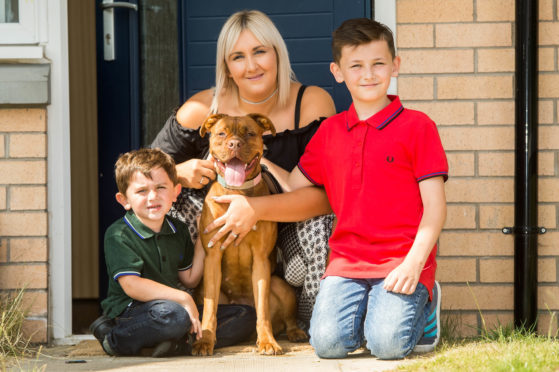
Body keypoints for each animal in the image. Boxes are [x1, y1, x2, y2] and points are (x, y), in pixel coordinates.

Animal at [192, 112, 306, 354]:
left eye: (250, 133)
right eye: (221, 133)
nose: (234, 144)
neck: (237, 194)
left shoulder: (260, 260)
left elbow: (262, 309)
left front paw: (267, 341)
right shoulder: (212, 259)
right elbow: (209, 309)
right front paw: (205, 340)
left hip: (281, 286)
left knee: (288, 318)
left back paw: (295, 332)